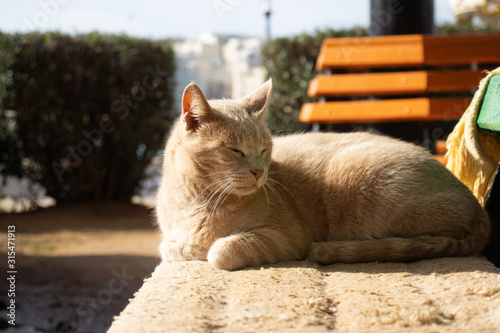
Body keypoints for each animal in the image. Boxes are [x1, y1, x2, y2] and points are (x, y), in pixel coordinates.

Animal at [157, 80, 492, 270]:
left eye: (264, 150)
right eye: (235, 151)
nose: (259, 171)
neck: (198, 200)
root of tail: (478, 208)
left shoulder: (287, 236)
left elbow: (220, 252)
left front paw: (209, 248)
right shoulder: (172, 237)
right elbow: (170, 247)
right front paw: (191, 246)